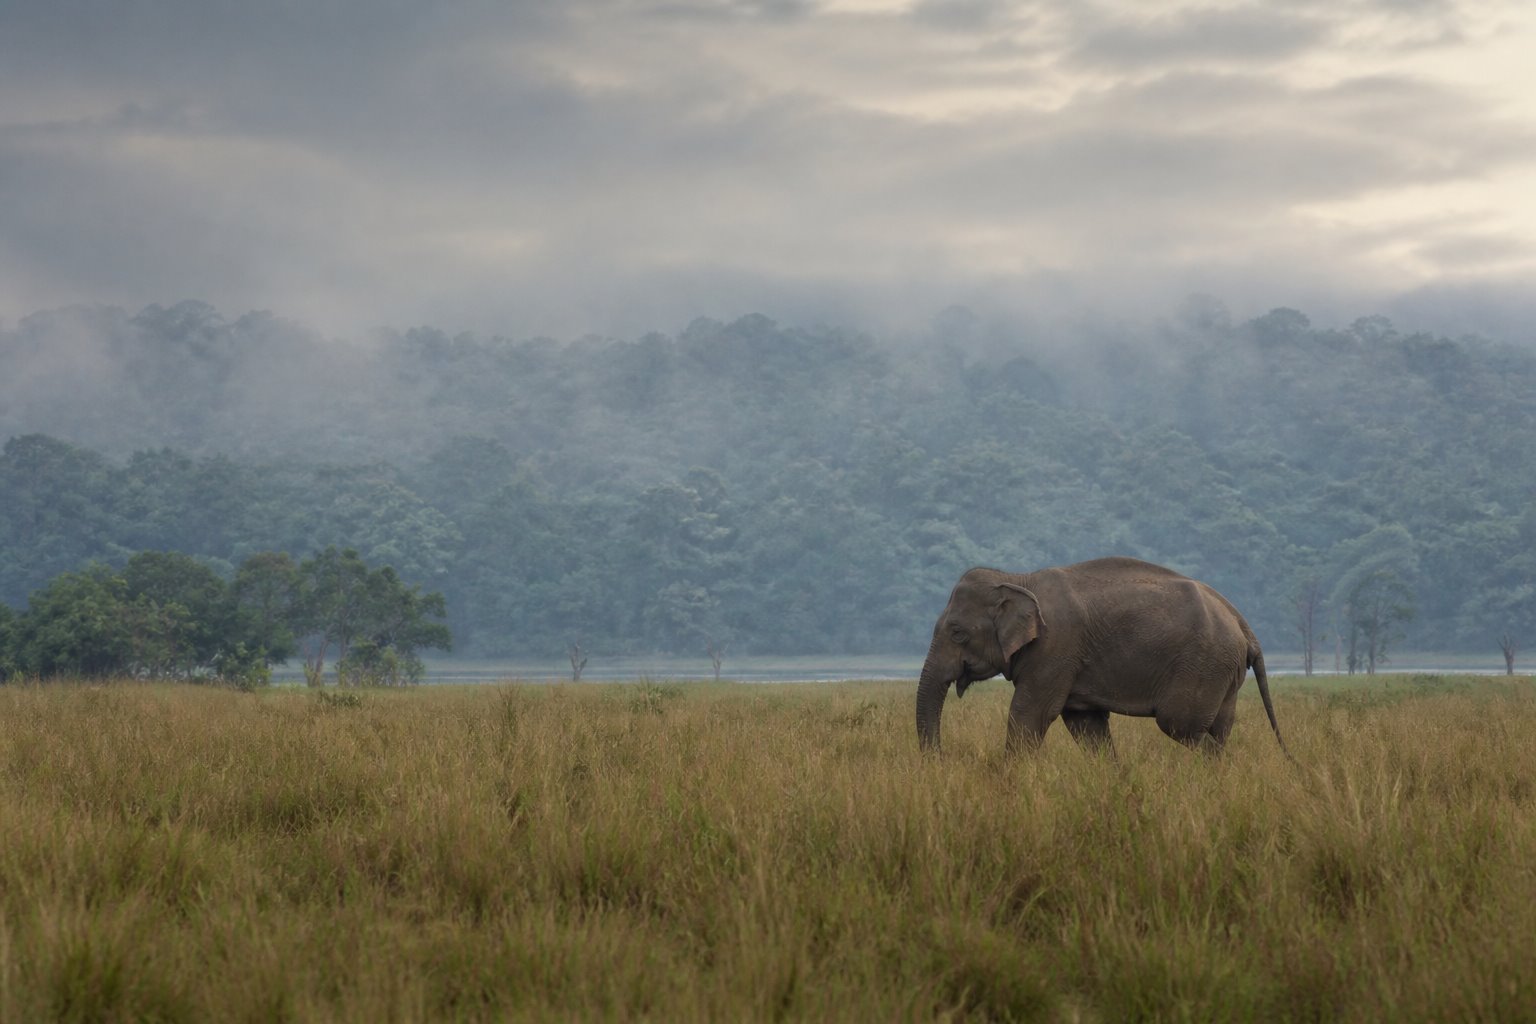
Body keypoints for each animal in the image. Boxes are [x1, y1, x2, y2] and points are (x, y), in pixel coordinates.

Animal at [916, 557, 1287, 757]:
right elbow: (1086, 724)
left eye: (957, 632)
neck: (1017, 579)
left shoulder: (1055, 648)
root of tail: (1242, 623)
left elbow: (1029, 714)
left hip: (1203, 666)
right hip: (1224, 672)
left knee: (1183, 725)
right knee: (1219, 729)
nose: (942, 761)